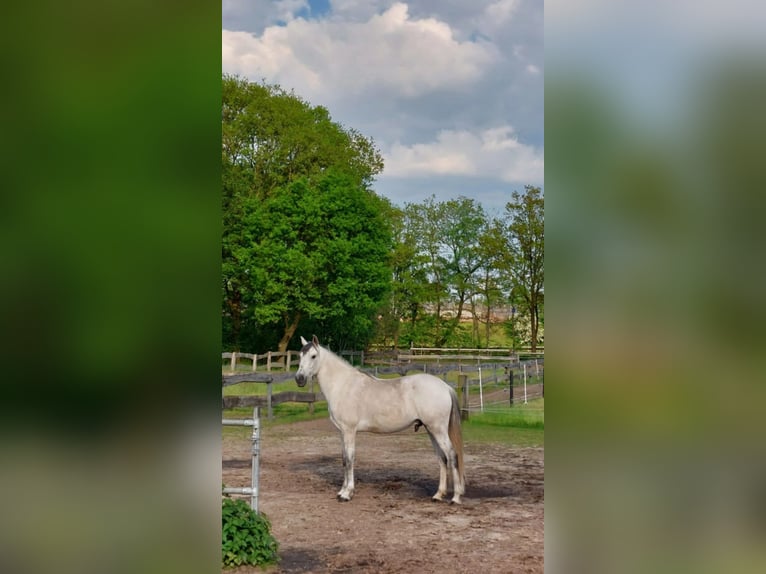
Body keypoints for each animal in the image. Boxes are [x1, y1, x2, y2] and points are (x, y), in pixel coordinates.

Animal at [295, 335, 465, 504]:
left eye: (313, 356)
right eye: (300, 355)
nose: (299, 379)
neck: (343, 385)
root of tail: (445, 387)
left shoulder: (349, 431)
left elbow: (350, 459)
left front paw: (347, 494)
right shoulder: (341, 432)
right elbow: (343, 459)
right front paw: (341, 491)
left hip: (438, 430)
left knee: (452, 455)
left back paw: (456, 497)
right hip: (431, 430)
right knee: (442, 458)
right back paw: (438, 495)